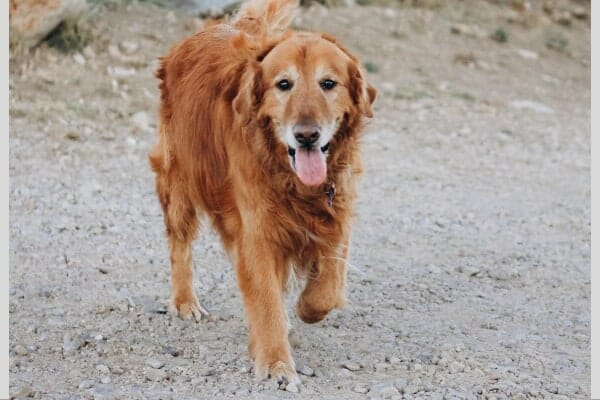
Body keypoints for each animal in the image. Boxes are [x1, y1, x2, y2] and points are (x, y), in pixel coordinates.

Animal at [150, 0, 376, 388]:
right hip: (179, 180)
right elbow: (267, 300)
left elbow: (328, 287)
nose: (306, 136)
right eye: (283, 84)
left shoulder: (337, 214)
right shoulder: (256, 232)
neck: (293, 181)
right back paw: (184, 301)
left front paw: (305, 309)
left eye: (328, 83)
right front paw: (275, 363)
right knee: (179, 244)